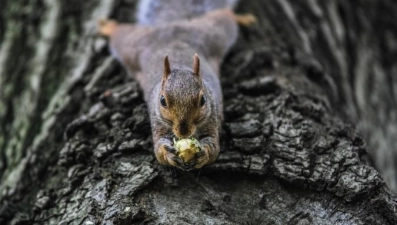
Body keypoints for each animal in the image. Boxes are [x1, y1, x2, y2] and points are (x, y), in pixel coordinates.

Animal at [97, 0, 255, 170]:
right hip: (132, 45)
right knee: (120, 34)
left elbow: (213, 147)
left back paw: (242, 18)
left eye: (203, 100)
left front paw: (204, 154)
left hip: (214, 33)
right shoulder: (158, 121)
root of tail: (171, 24)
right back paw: (108, 26)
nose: (183, 132)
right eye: (162, 101)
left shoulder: (211, 117)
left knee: (224, 16)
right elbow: (159, 149)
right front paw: (167, 153)